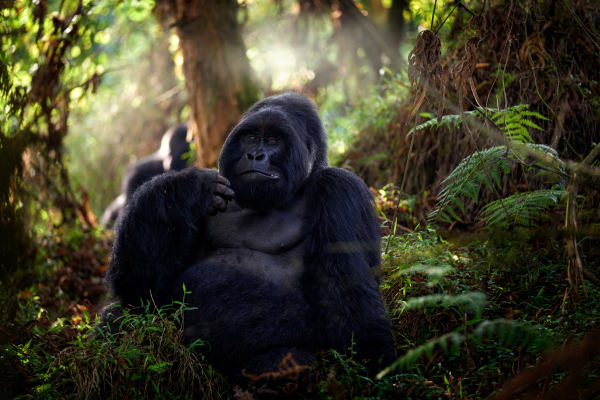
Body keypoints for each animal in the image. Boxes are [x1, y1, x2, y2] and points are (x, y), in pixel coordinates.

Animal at [101, 93, 396, 382]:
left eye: (273, 141)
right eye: (251, 138)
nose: (255, 155)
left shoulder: (341, 188)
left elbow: (345, 302)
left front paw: (373, 366)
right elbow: (141, 288)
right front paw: (184, 188)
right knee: (124, 317)